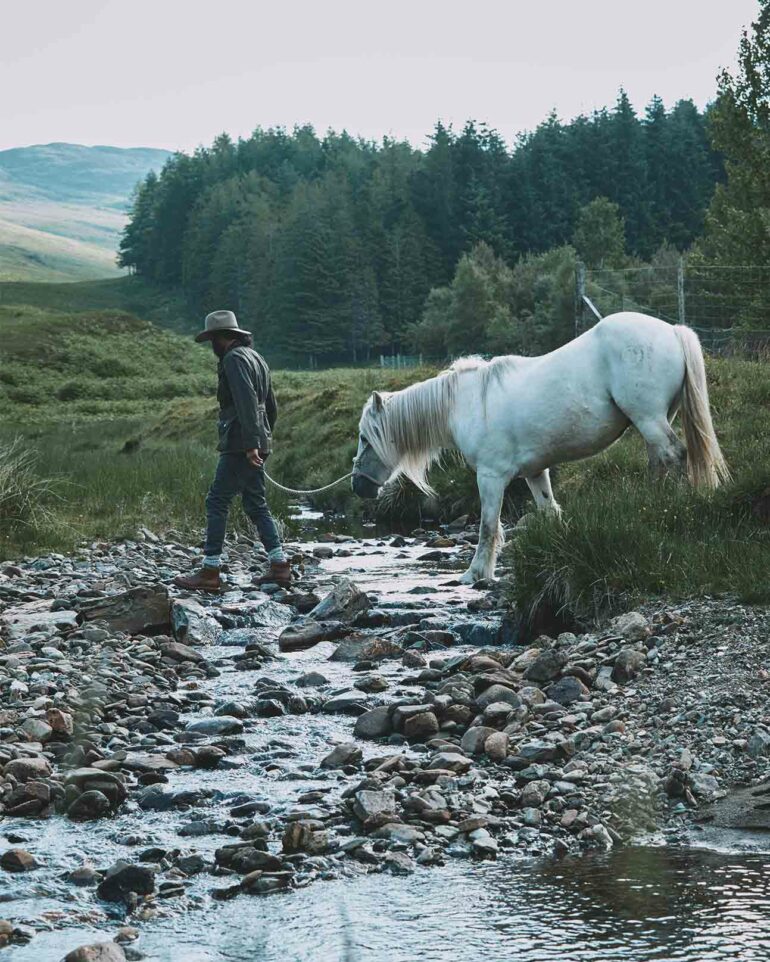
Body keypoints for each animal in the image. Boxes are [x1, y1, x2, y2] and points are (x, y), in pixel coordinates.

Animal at [351, 312, 730, 584]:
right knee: (660, 461)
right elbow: (549, 511)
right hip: (654, 419)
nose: (357, 486)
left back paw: (672, 508)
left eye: (365, 438)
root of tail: (671, 330)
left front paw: (475, 574)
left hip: (649, 417)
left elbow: (488, 526)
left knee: (674, 456)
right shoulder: (535, 472)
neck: (465, 402)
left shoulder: (491, 477)